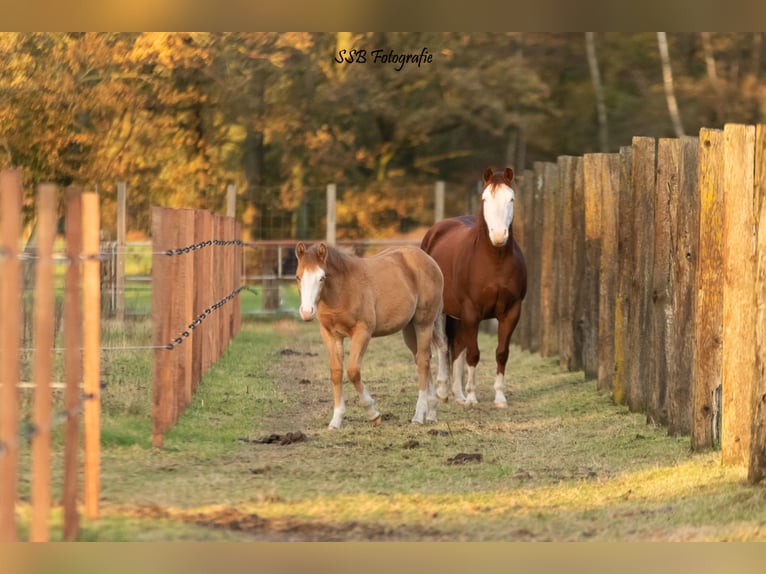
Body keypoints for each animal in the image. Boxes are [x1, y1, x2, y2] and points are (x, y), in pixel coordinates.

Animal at [296, 241, 450, 430]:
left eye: (321, 278)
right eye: (298, 277)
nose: (306, 312)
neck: (343, 289)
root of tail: (428, 259)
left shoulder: (363, 332)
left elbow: (353, 371)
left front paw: (373, 414)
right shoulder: (331, 335)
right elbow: (336, 372)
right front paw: (336, 420)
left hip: (424, 324)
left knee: (422, 362)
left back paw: (419, 415)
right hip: (409, 329)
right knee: (424, 358)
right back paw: (432, 413)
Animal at [420, 166, 528, 410]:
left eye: (511, 199)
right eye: (485, 199)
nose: (498, 236)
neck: (494, 262)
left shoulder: (511, 312)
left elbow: (501, 353)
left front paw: (499, 398)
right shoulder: (471, 312)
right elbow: (473, 354)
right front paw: (472, 397)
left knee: (457, 347)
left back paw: (458, 394)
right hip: (441, 311)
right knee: (443, 346)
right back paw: (443, 392)